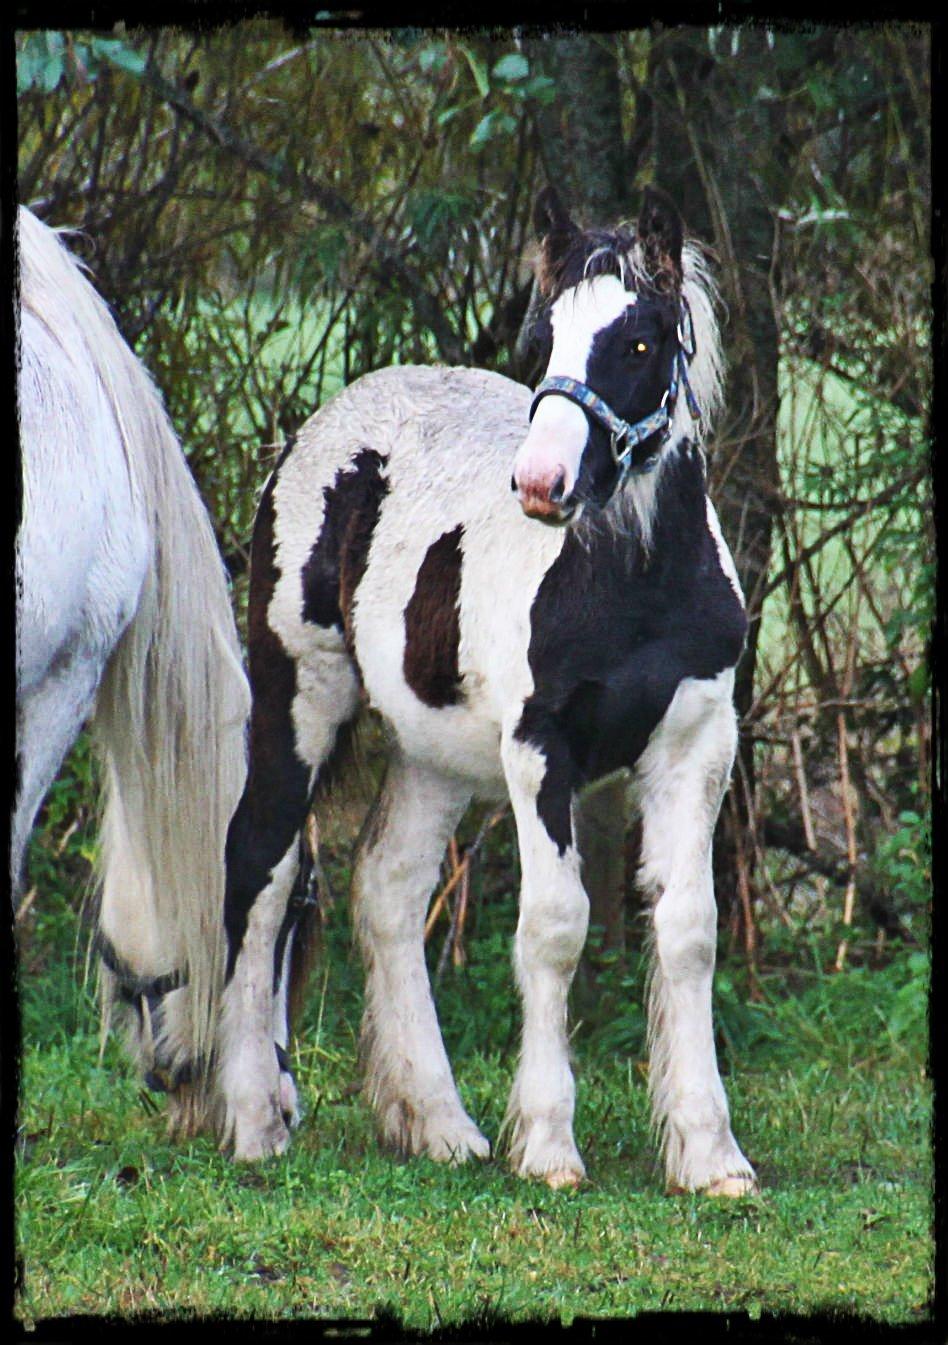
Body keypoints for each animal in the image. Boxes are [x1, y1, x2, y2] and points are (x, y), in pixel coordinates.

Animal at [217, 181, 758, 1199]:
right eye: (542, 337)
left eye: (638, 342)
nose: (540, 483)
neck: (632, 582)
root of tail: (316, 430)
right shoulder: (541, 749)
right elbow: (554, 926)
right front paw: (547, 1144)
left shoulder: (698, 745)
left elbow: (689, 930)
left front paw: (710, 1153)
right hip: (299, 698)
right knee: (259, 870)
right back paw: (253, 1120)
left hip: (433, 752)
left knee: (387, 889)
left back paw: (437, 1123)